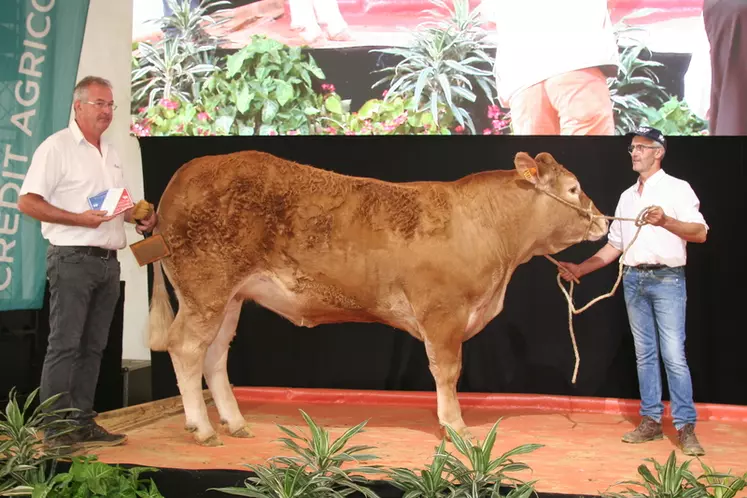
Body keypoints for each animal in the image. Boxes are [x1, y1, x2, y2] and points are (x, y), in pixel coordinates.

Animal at [148, 150, 608, 446]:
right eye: (573, 188)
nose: (604, 220)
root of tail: (186, 175)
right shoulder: (443, 312)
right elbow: (447, 371)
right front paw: (455, 426)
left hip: (230, 299)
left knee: (214, 355)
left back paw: (234, 421)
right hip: (206, 288)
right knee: (185, 347)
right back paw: (203, 428)